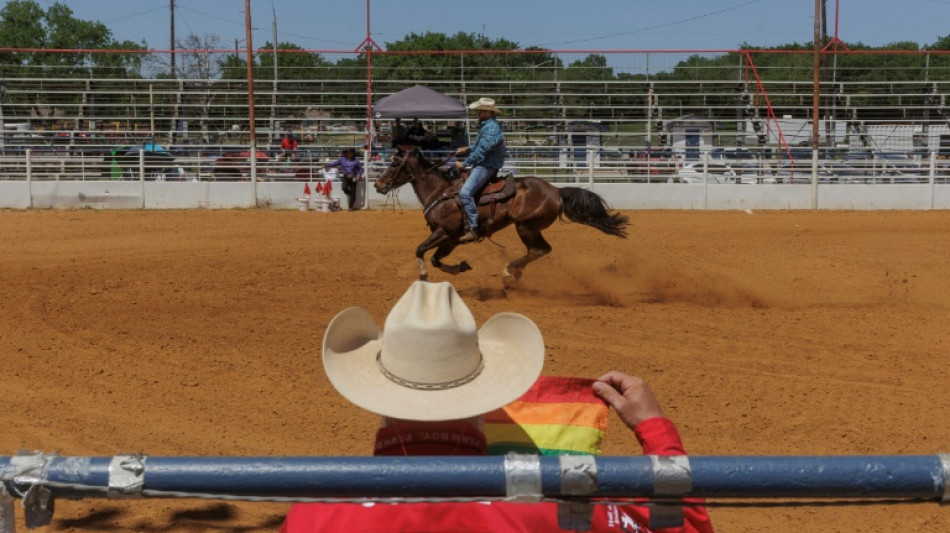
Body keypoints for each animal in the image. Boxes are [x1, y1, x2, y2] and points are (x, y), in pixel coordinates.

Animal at [374, 145, 632, 278]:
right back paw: (514, 273)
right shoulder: (453, 238)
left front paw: (423, 274)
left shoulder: (445, 232)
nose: (378, 184)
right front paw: (460, 268)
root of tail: (557, 190)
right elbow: (437, 259)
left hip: (525, 226)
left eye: (394, 163)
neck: (440, 192)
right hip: (530, 227)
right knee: (543, 250)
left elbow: (420, 250)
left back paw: (509, 271)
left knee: (537, 250)